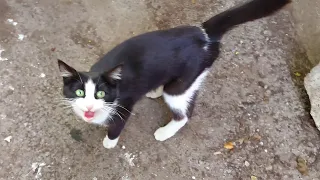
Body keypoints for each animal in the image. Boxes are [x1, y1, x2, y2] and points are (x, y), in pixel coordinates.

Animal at [57, 0, 290, 149]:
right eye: (79, 92)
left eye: (101, 94)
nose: (88, 108)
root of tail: (204, 34)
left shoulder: (124, 105)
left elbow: (117, 125)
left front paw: (109, 141)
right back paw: (155, 91)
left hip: (184, 84)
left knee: (184, 112)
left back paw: (165, 131)